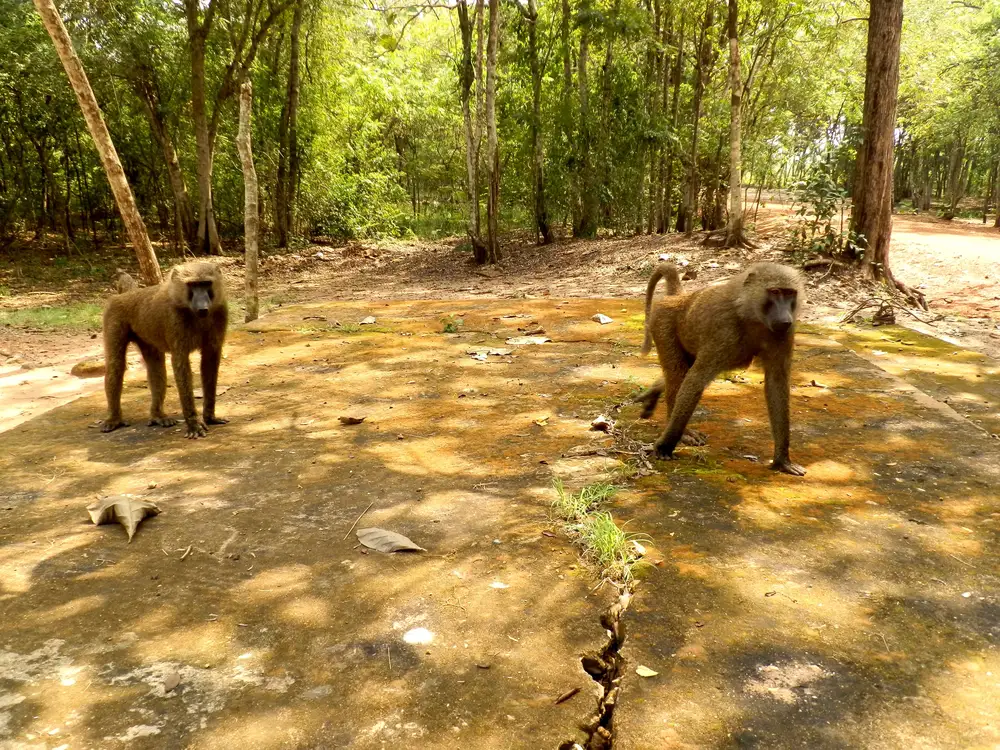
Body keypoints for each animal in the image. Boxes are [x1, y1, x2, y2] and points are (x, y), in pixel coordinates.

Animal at [99, 264, 229, 440]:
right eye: (192, 285)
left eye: (205, 283)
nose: (203, 307)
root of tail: (126, 295)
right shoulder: (175, 319)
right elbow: (180, 363)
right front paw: (194, 424)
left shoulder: (220, 312)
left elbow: (210, 361)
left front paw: (210, 417)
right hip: (113, 316)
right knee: (116, 366)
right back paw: (114, 419)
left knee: (156, 367)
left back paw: (157, 416)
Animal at [640, 264, 804, 476]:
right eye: (775, 292)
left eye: (790, 293)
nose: (785, 320)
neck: (751, 316)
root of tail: (680, 298)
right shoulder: (724, 330)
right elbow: (696, 379)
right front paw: (665, 446)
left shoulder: (784, 334)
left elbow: (776, 384)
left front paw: (783, 460)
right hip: (662, 324)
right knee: (678, 374)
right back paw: (682, 432)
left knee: (678, 373)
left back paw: (655, 392)